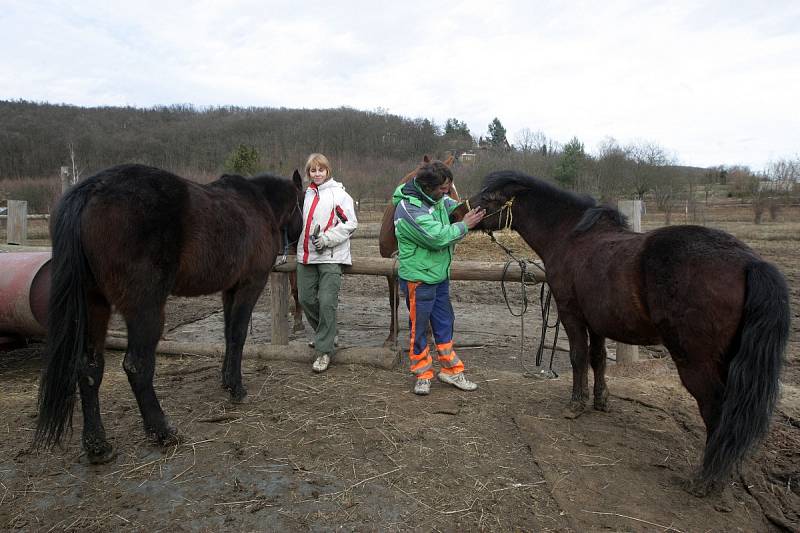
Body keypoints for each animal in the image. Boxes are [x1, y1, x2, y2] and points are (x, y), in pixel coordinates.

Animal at [34, 162, 304, 462]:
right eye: (304, 202)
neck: (257, 204)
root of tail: (92, 189)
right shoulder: (250, 285)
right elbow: (238, 334)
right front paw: (236, 388)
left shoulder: (229, 289)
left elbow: (227, 334)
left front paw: (225, 380)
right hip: (146, 310)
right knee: (137, 365)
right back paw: (162, 431)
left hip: (95, 306)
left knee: (89, 367)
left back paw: (97, 445)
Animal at [454, 171, 792, 494]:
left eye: (489, 197)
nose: (457, 213)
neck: (570, 236)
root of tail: (750, 262)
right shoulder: (597, 322)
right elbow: (598, 359)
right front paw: (600, 401)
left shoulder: (571, 314)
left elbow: (578, 357)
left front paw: (576, 404)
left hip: (695, 362)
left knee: (715, 409)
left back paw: (704, 480)